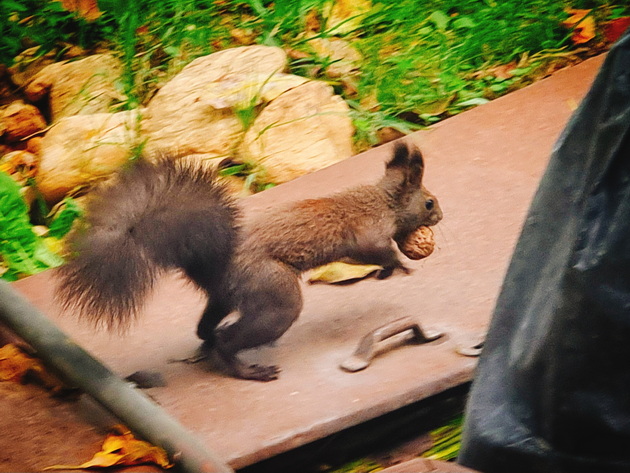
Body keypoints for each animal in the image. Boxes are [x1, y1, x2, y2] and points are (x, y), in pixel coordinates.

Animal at [58, 141, 444, 380]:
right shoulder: (368, 231)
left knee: (207, 328)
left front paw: (386, 272)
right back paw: (245, 369)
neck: (382, 200)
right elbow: (379, 250)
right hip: (273, 292)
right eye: (428, 202)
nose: (440, 216)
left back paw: (208, 342)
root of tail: (214, 260)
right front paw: (401, 264)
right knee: (231, 339)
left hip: (225, 295)